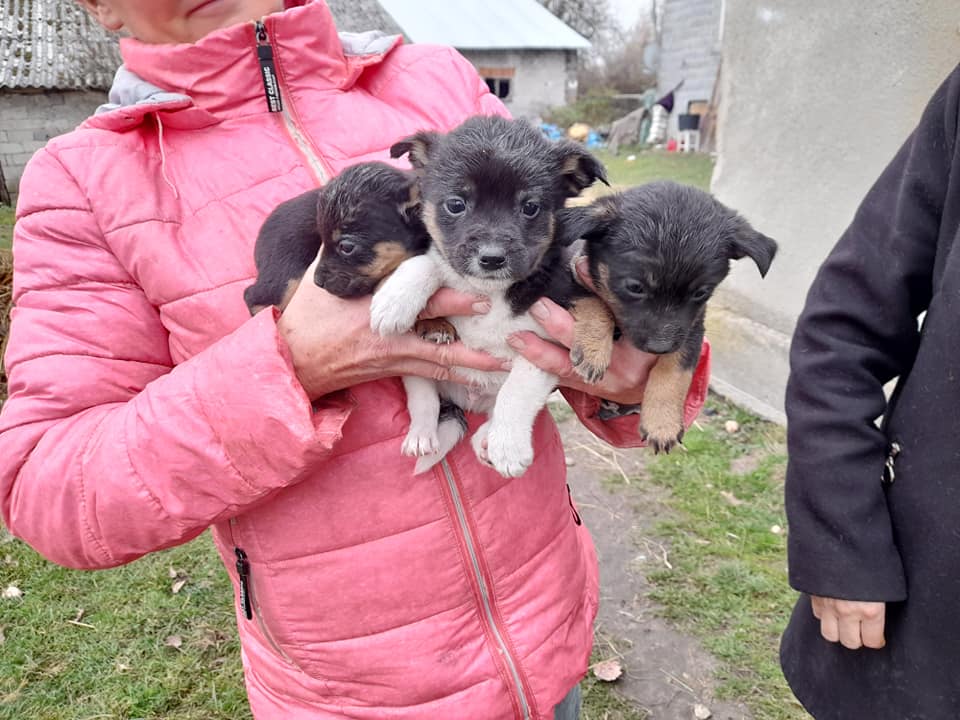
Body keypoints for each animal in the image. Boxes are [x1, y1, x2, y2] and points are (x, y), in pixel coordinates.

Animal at [369, 115, 607, 477]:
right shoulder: (446, 262)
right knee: (423, 396)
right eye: (456, 204)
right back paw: (422, 435)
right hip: (414, 364)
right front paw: (394, 300)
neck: (489, 292)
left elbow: (517, 391)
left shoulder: (544, 347)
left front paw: (508, 447)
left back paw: (486, 440)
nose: (492, 258)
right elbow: (430, 261)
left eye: (530, 207)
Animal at [556, 181, 778, 452]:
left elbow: (675, 370)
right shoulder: (561, 278)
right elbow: (593, 300)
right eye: (635, 287)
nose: (659, 347)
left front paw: (662, 424)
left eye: (701, 292)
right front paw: (593, 351)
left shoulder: (692, 330)